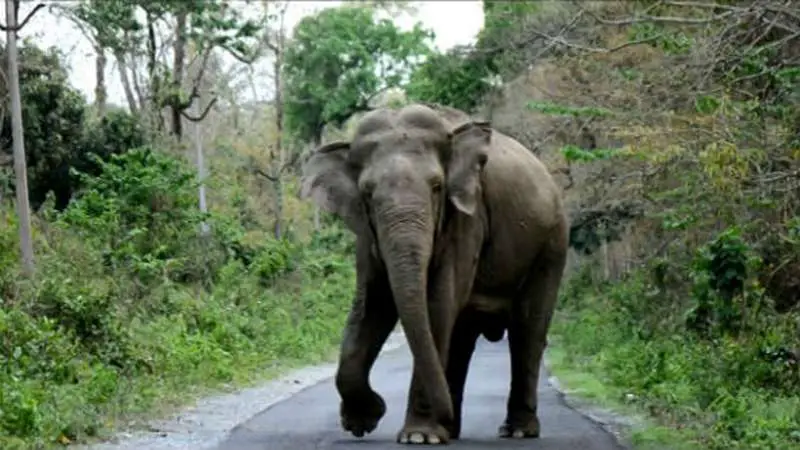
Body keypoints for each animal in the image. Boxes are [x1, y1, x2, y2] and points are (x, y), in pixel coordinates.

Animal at [300, 103, 568, 444]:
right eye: (368, 193)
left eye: (437, 186)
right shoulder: (367, 233)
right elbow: (372, 305)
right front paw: (363, 421)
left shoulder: (467, 217)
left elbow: (437, 303)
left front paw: (418, 437)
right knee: (462, 336)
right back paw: (451, 430)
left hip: (551, 245)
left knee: (528, 330)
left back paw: (517, 431)